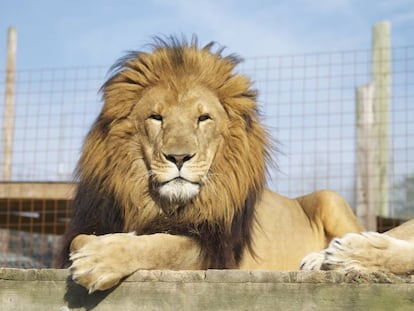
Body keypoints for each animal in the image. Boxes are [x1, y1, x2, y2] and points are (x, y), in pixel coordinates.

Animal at [58, 36, 362, 294]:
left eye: (203, 118)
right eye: (156, 117)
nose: (179, 157)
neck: (164, 205)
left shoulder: (213, 248)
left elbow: (162, 246)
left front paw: (98, 259)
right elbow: (78, 240)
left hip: (330, 199)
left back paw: (324, 258)